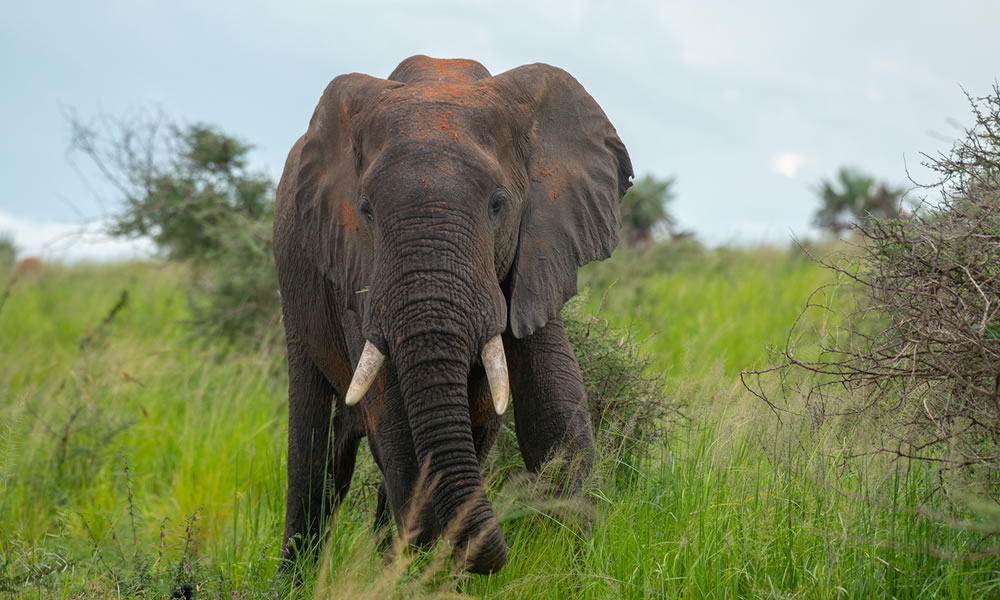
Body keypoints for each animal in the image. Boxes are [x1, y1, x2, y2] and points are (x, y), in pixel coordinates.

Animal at [272, 55, 632, 574]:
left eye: (498, 205)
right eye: (366, 210)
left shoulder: (538, 250)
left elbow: (553, 408)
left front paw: (575, 570)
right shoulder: (358, 270)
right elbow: (397, 426)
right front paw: (425, 575)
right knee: (315, 457)